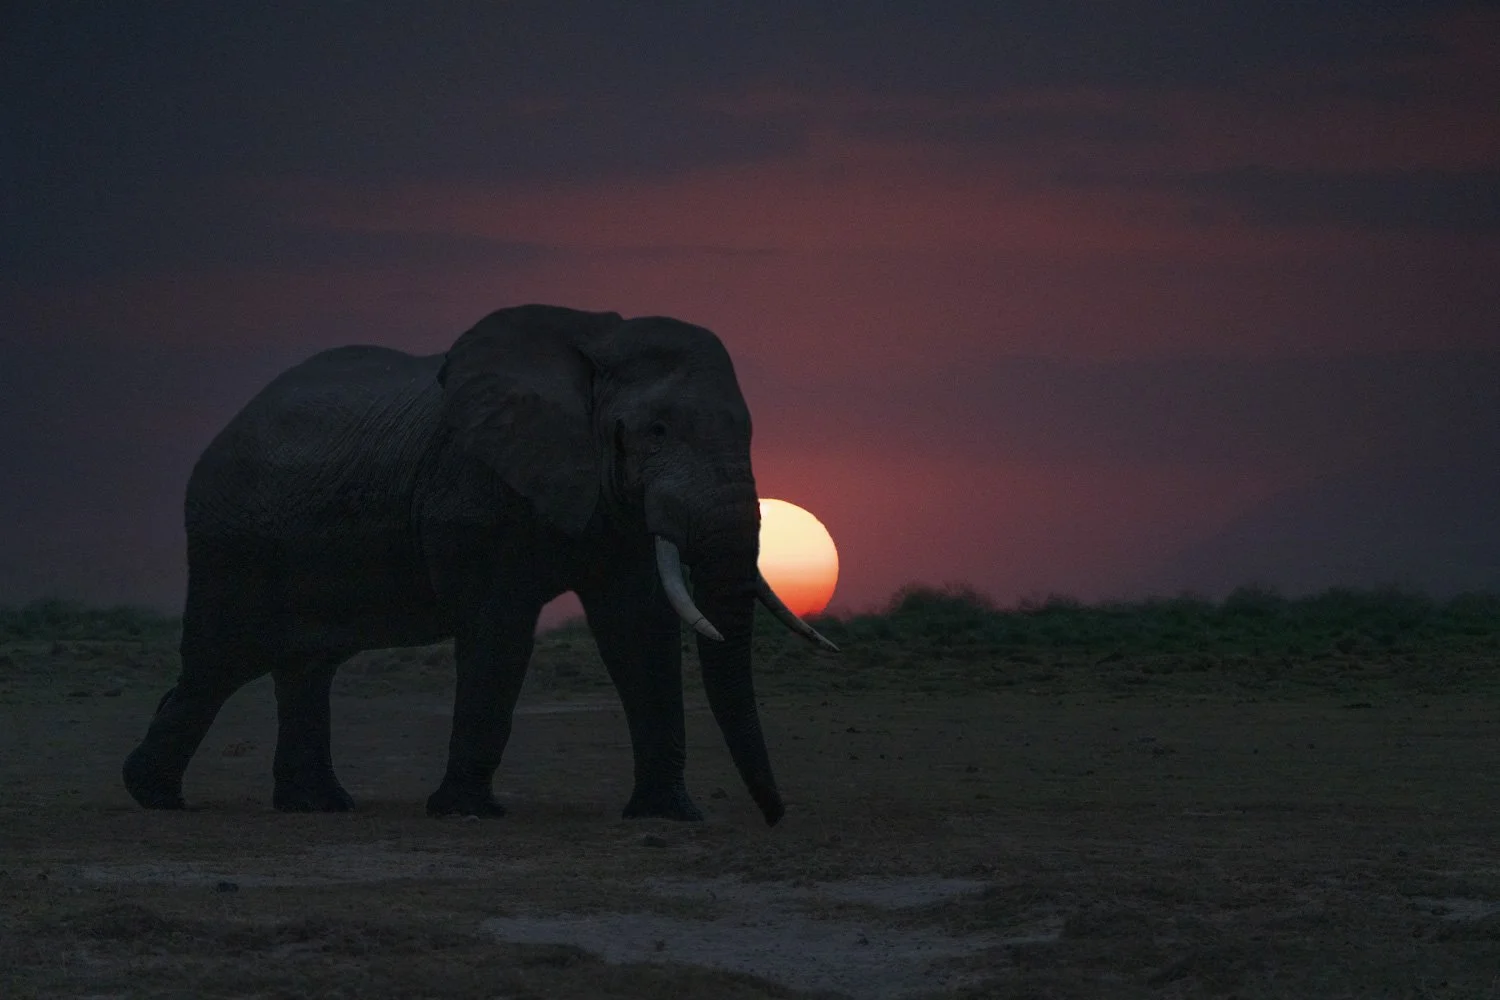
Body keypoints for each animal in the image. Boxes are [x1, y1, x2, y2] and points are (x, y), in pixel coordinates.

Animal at [122, 304, 837, 826]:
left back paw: (315, 807)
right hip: (231, 540)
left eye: (749, 434)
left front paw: (668, 816)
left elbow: (639, 631)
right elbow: (500, 632)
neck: (593, 350)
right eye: (656, 432)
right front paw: (466, 813)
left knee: (304, 666)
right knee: (218, 662)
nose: (775, 817)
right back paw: (153, 795)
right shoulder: (475, 491)